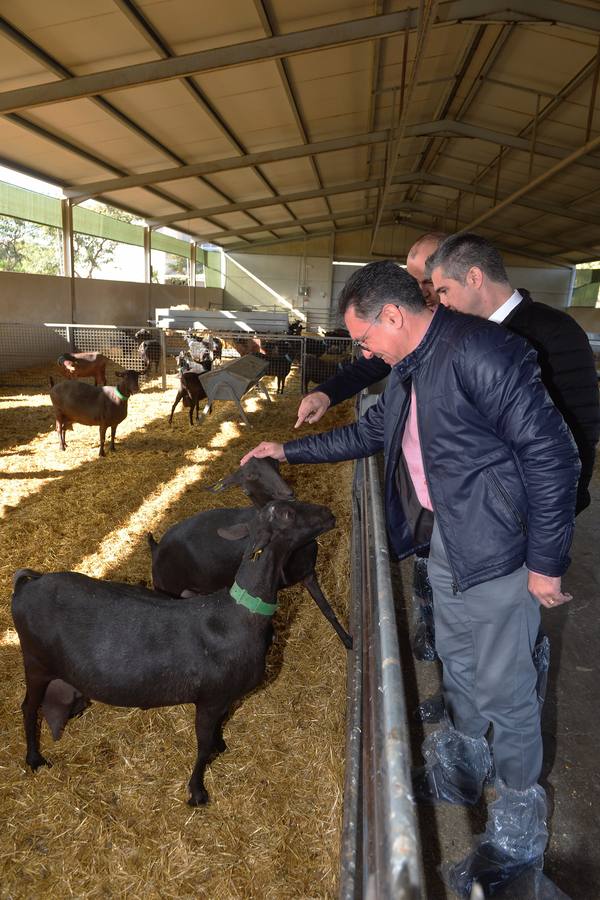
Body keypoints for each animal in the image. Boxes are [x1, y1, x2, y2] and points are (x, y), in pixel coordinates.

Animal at [11, 502, 336, 804]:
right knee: (28, 707)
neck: (239, 614)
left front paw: (220, 746)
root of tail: (28, 584)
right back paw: (35, 759)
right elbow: (202, 744)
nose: (328, 513)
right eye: (287, 514)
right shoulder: (210, 698)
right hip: (36, 663)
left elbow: (219, 726)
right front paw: (197, 791)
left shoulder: (226, 697)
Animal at [148, 458, 352, 648]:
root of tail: (156, 547)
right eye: (250, 476)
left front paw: (347, 640)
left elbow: (328, 610)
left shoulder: (308, 573)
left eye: (275, 463)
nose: (287, 493)